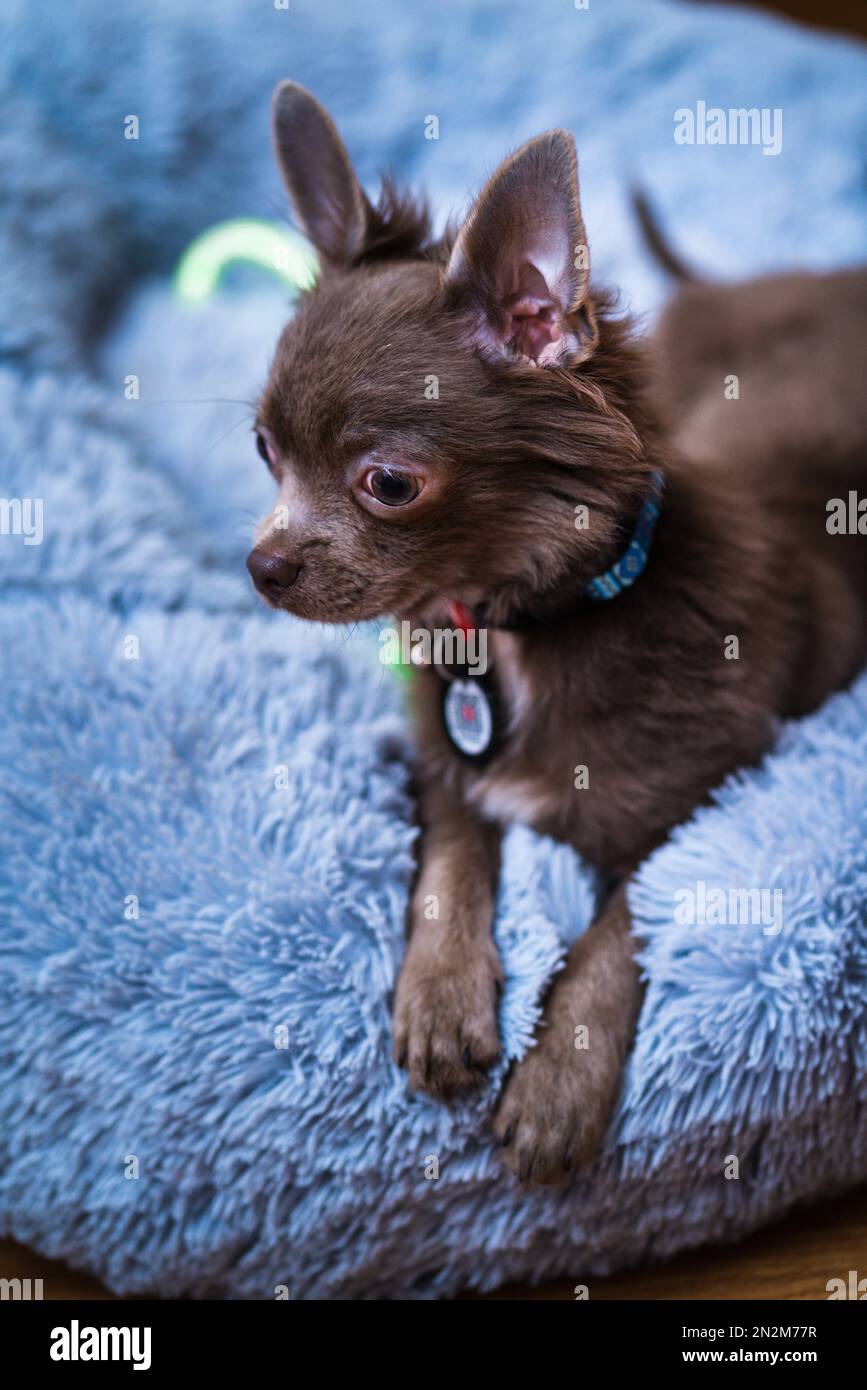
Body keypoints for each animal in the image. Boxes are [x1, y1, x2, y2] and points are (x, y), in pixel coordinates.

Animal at [245, 78, 867, 1184]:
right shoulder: (448, 763)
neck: (522, 625)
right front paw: (441, 994)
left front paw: (557, 1083)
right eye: (263, 451)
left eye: (387, 484)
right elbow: (453, 855)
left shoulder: (700, 801)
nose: (261, 565)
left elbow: (620, 929)